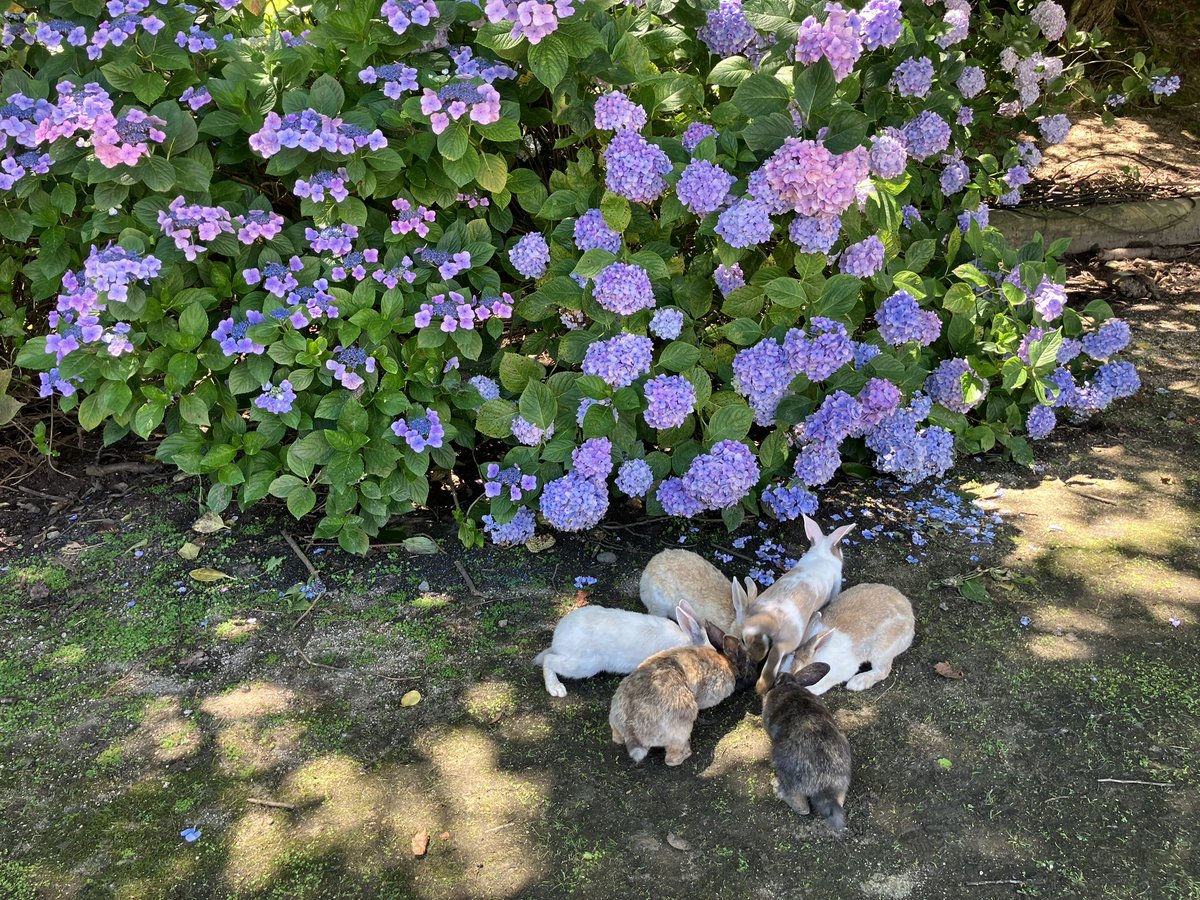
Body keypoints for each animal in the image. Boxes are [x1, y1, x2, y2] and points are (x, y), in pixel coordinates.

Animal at [609, 622, 759, 766]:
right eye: (752, 665)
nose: (756, 678)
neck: (727, 663)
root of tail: (631, 731)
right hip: (682, 725)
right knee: (672, 759)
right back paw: (686, 753)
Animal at [741, 514, 857, 696]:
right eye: (838, 546)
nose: (842, 553)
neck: (821, 554)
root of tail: (771, 616)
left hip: (752, 626)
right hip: (789, 640)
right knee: (775, 655)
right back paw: (761, 686)